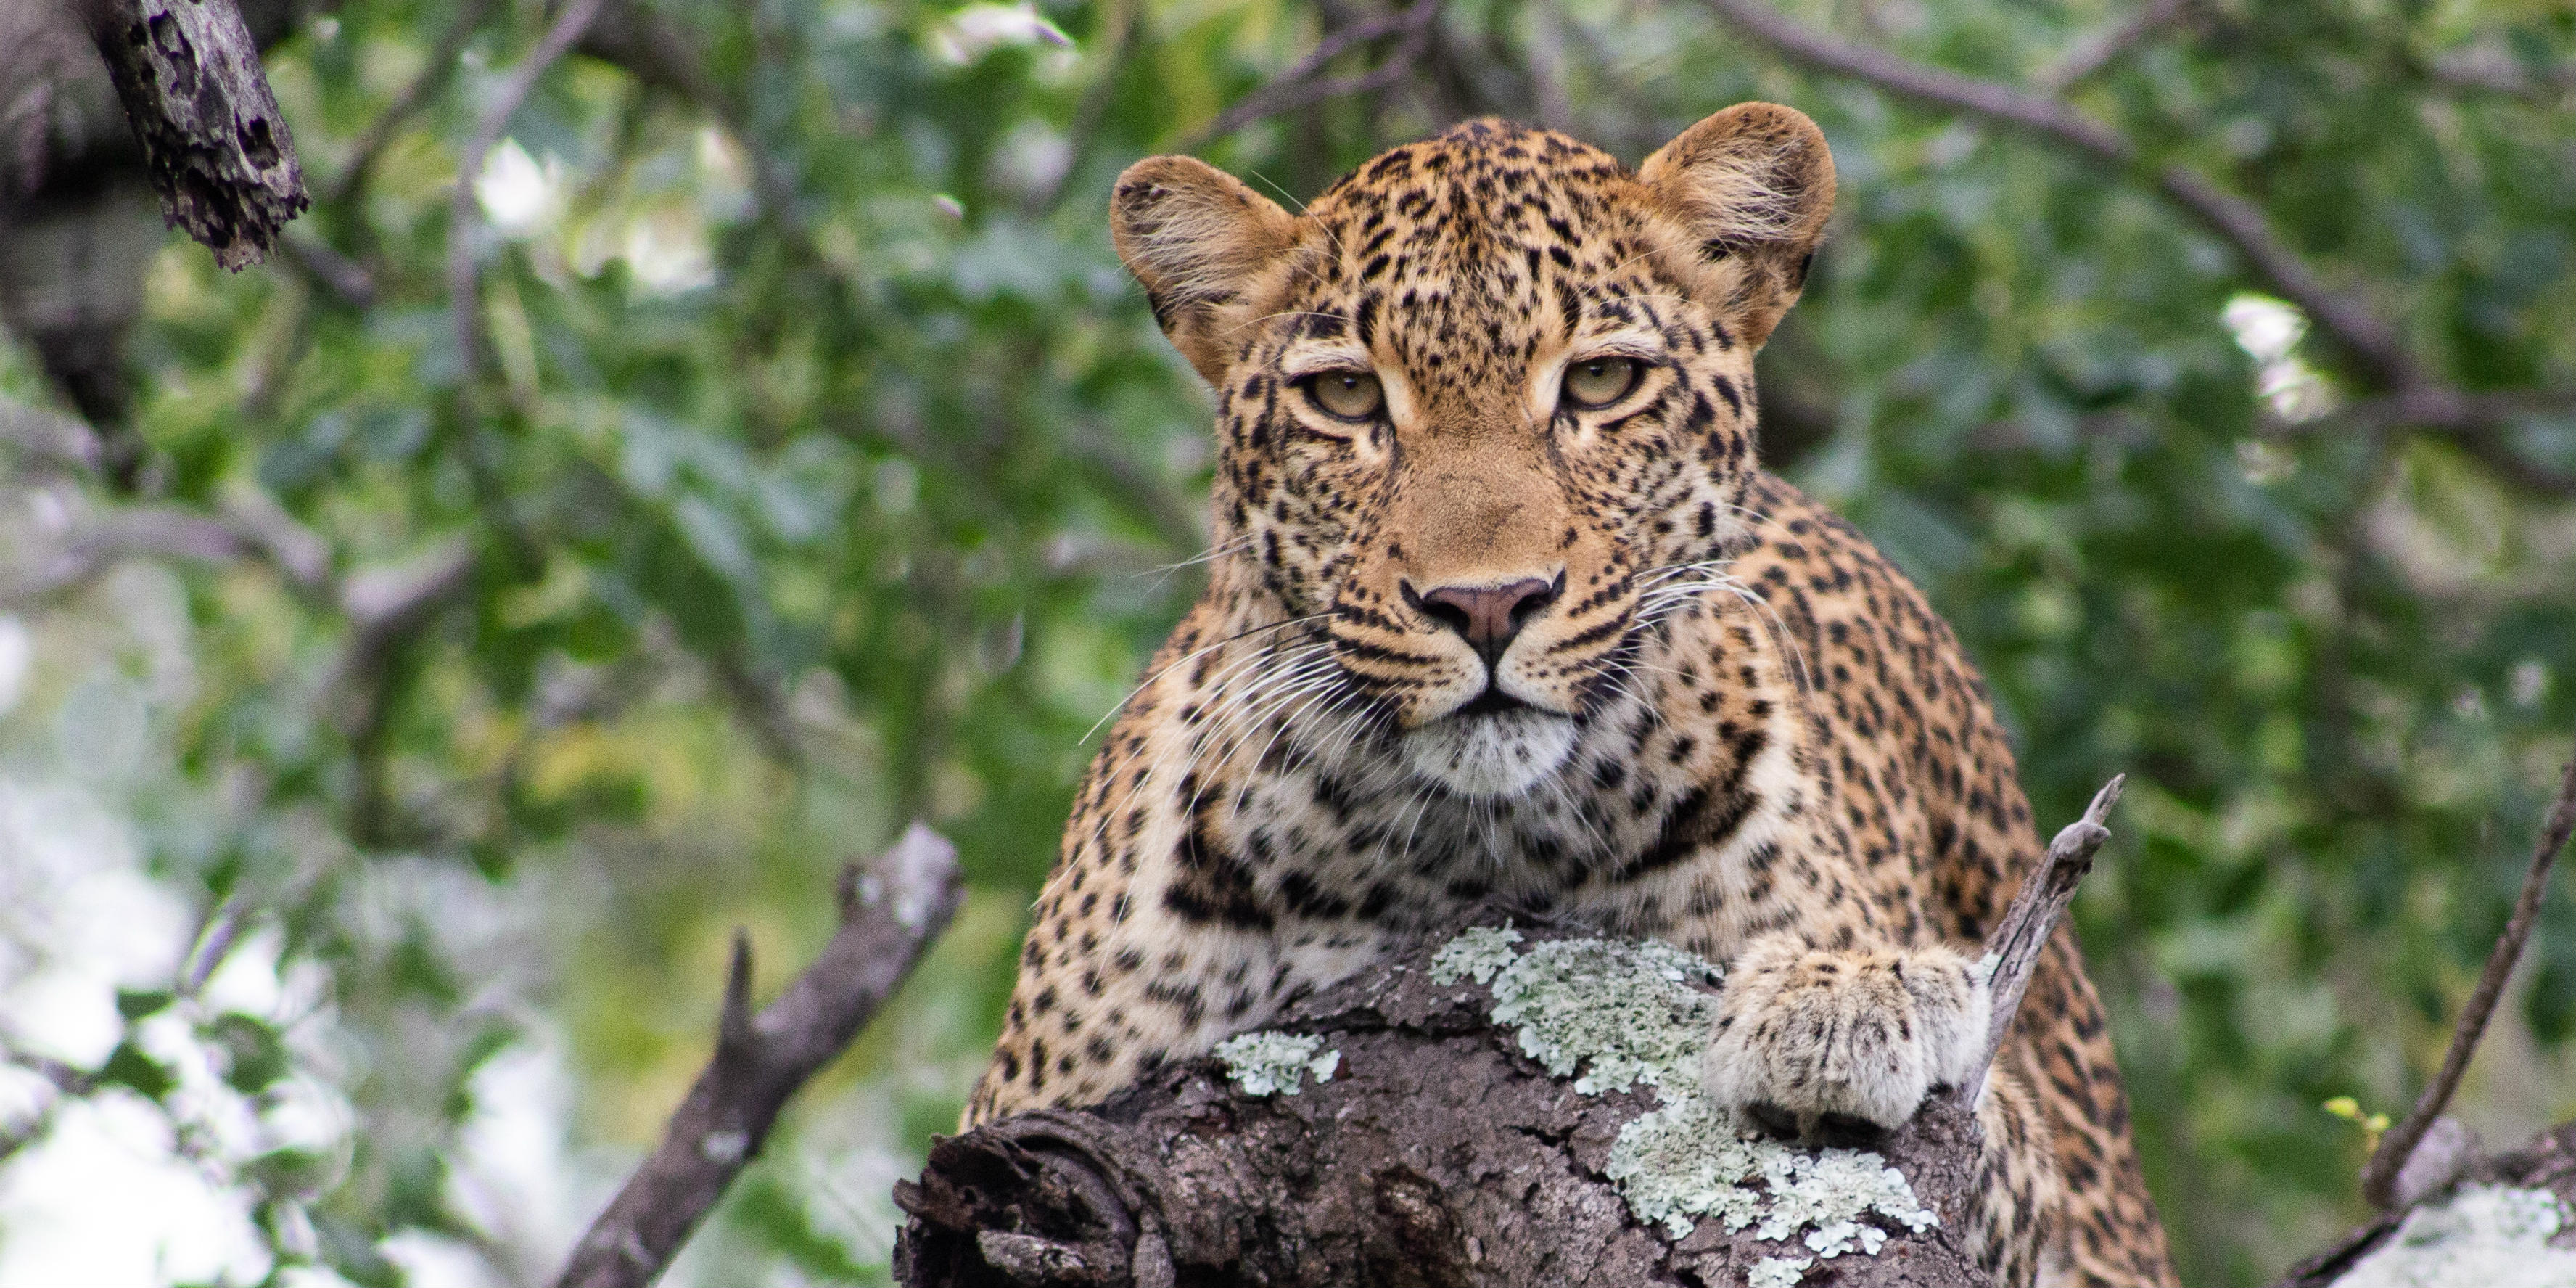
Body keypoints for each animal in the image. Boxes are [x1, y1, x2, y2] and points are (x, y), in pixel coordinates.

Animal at [968, 103, 2174, 1288]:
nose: (1486, 604)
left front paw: (1846, 994)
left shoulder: (2027, 1173)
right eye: (1345, 394)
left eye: (1599, 383)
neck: (1456, 855)